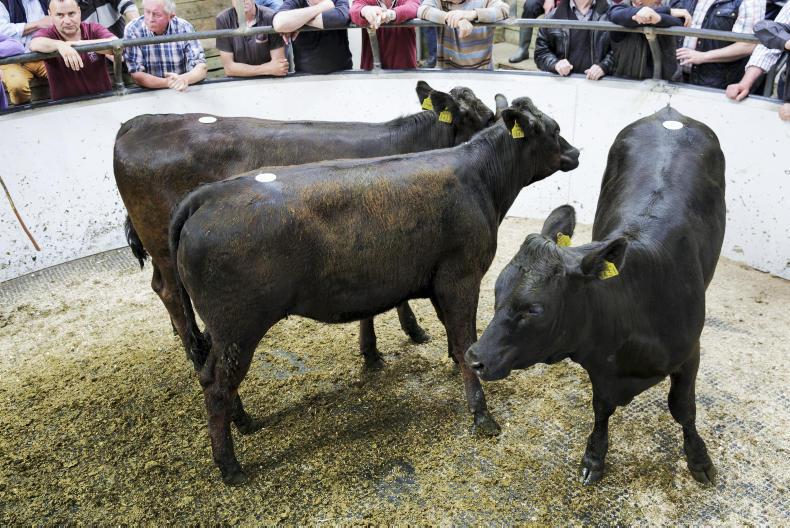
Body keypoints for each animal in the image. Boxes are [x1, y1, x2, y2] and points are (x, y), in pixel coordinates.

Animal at [114, 81, 504, 382]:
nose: (498, 120)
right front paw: (405, 333)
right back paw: (196, 355)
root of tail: (137, 122)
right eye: (483, 116)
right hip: (162, 244)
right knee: (170, 292)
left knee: (165, 291)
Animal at [167, 98, 580, 484]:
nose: (576, 152)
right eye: (554, 129)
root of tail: (205, 196)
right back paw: (230, 465)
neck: (480, 179)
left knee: (213, 372)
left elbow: (451, 334)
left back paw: (243, 420)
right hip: (238, 325)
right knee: (216, 385)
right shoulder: (460, 275)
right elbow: (465, 338)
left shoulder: (434, 279)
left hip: (221, 328)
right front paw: (481, 414)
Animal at [465, 106, 725, 486]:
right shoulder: (601, 367)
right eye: (496, 293)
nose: (474, 358)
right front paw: (594, 456)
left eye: (535, 310)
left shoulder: (690, 352)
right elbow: (601, 409)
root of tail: (669, 111)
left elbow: (683, 409)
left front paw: (699, 459)